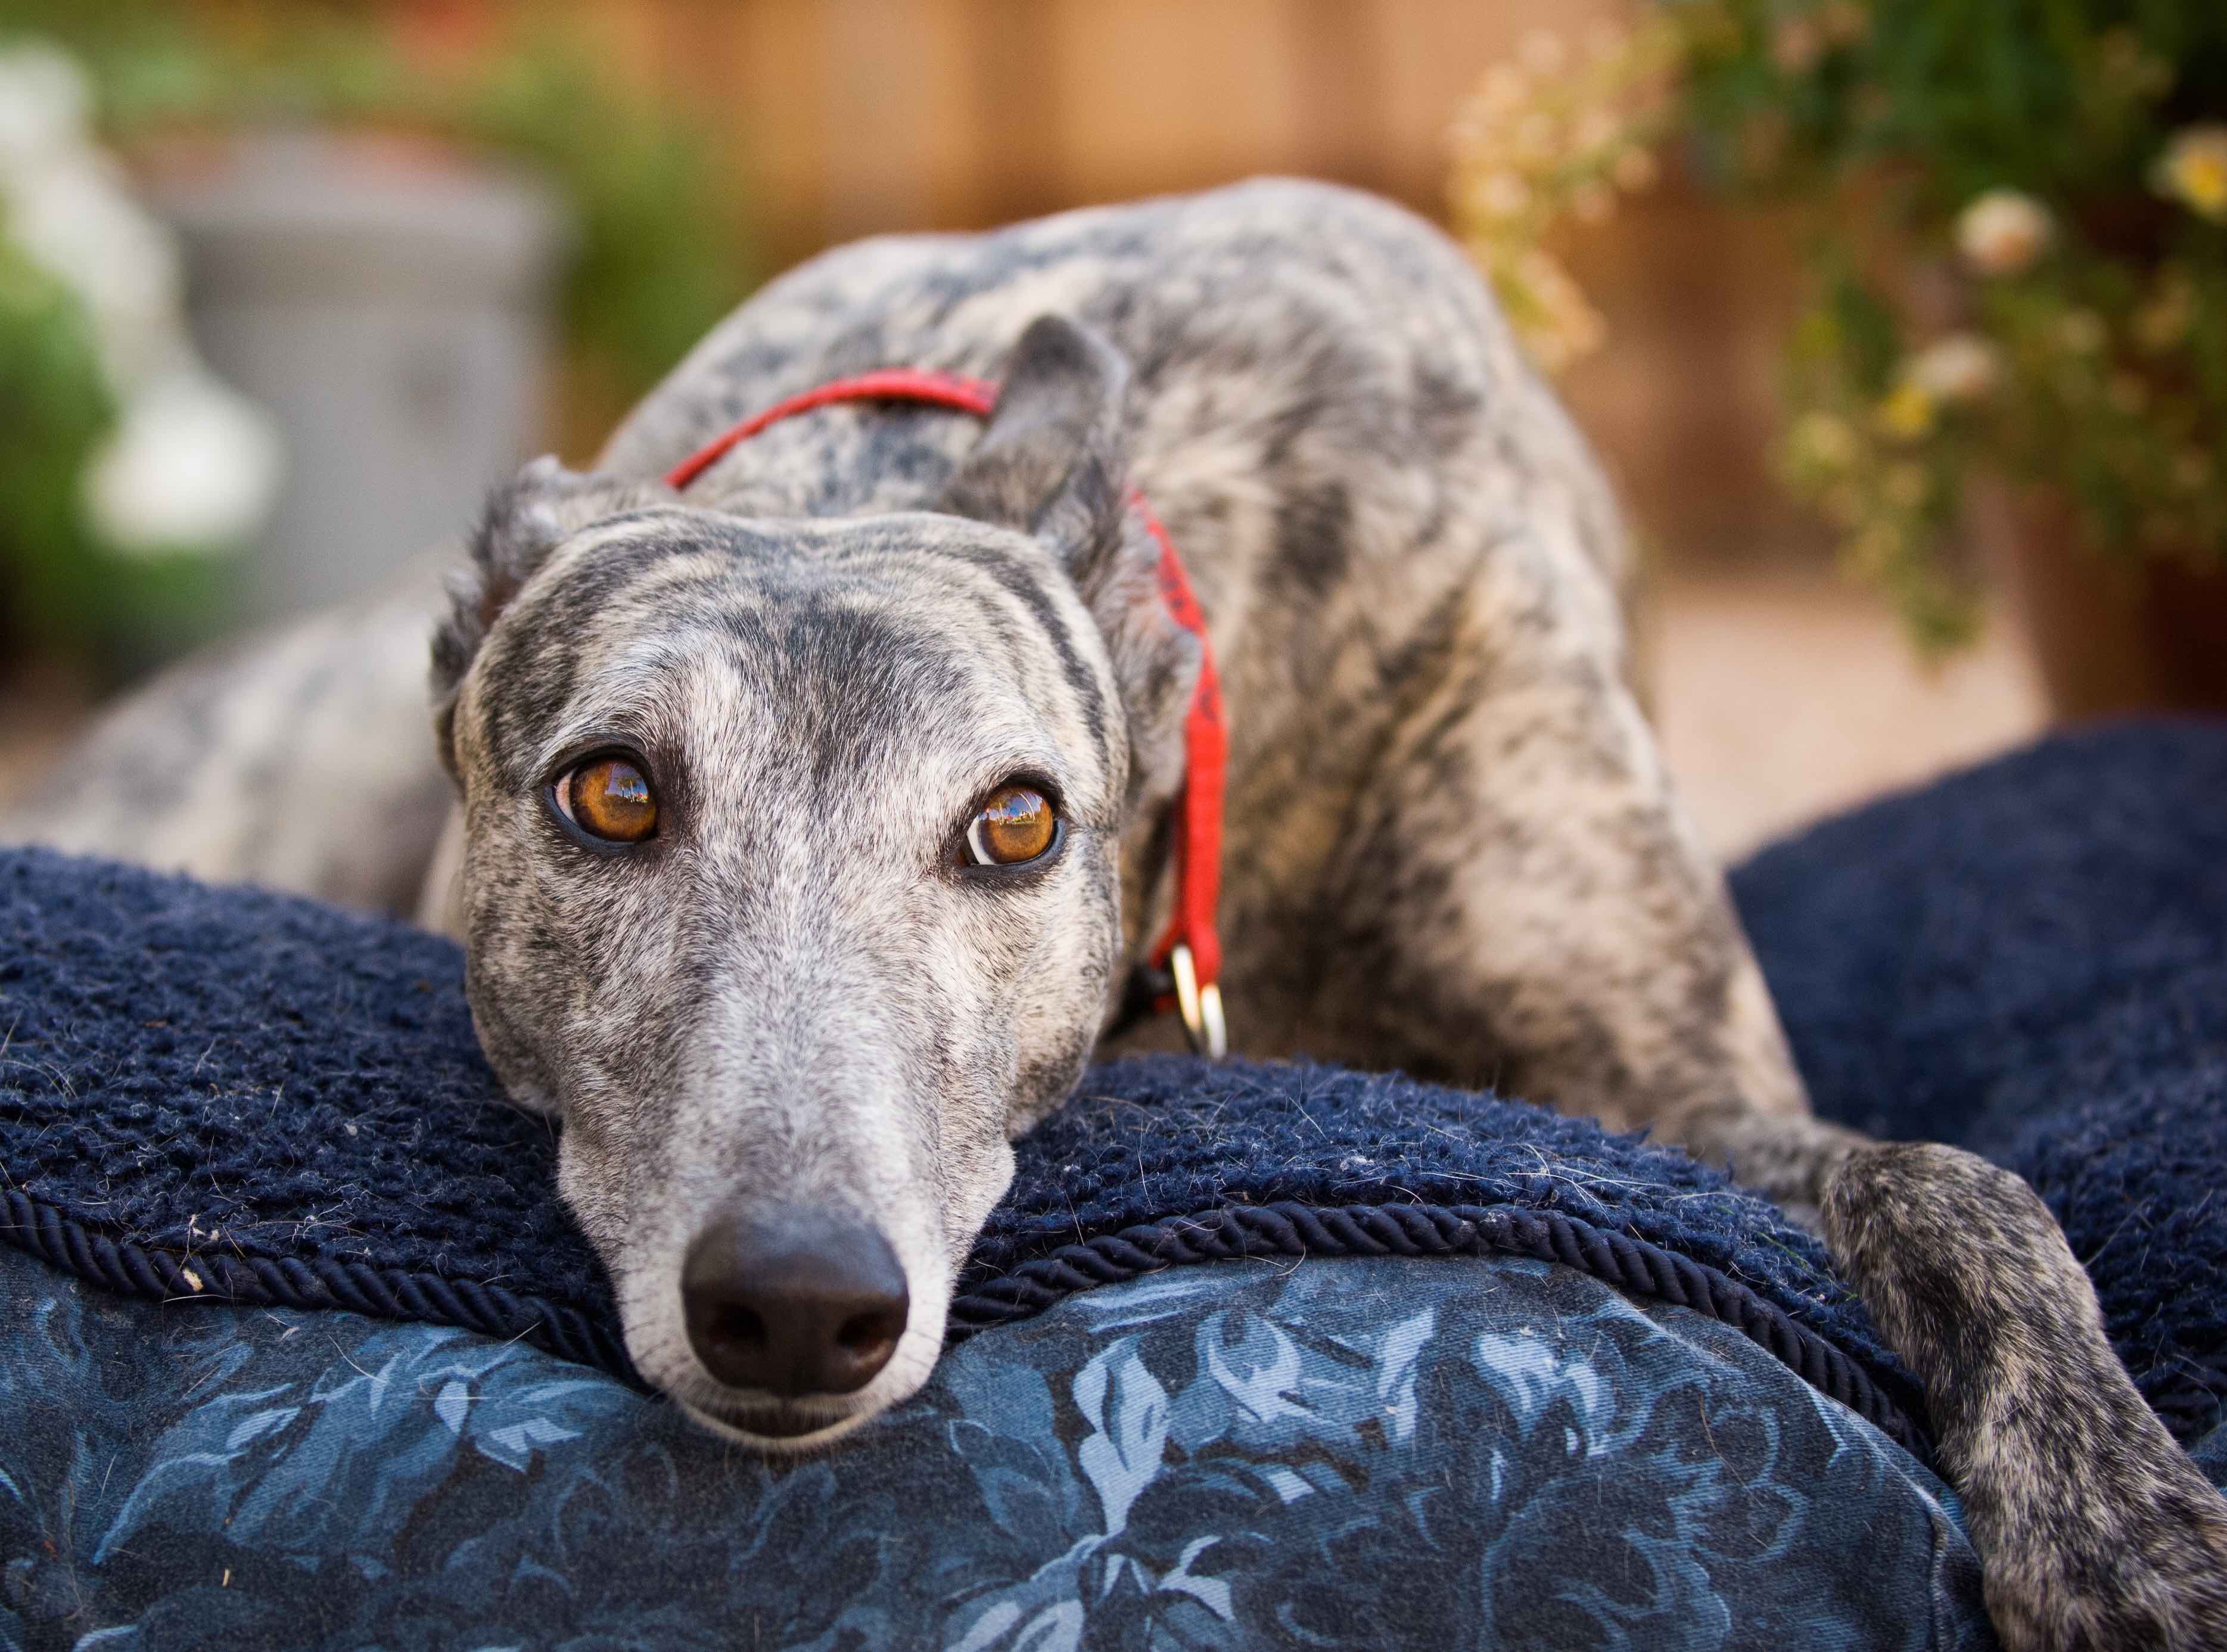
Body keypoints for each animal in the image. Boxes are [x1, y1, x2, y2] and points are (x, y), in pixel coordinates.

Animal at [8, 175, 2218, 1647]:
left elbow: (1955, 1177)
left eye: (1013, 825)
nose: (794, 1303)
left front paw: (2125, 1526)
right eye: (611, 792)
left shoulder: (1678, 1084)